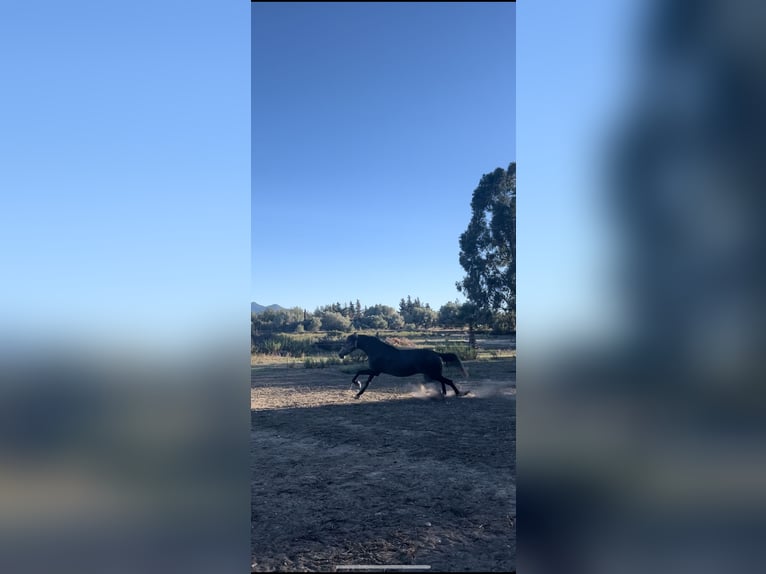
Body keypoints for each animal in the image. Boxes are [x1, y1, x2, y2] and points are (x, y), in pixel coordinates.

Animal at [340, 332, 472, 400]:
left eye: (348, 342)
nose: (340, 354)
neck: (377, 350)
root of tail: (436, 353)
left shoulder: (375, 371)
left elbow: (358, 373)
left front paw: (357, 385)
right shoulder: (374, 372)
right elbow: (367, 383)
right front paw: (358, 394)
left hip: (433, 374)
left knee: (448, 381)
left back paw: (459, 393)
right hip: (432, 374)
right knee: (443, 382)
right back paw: (443, 394)